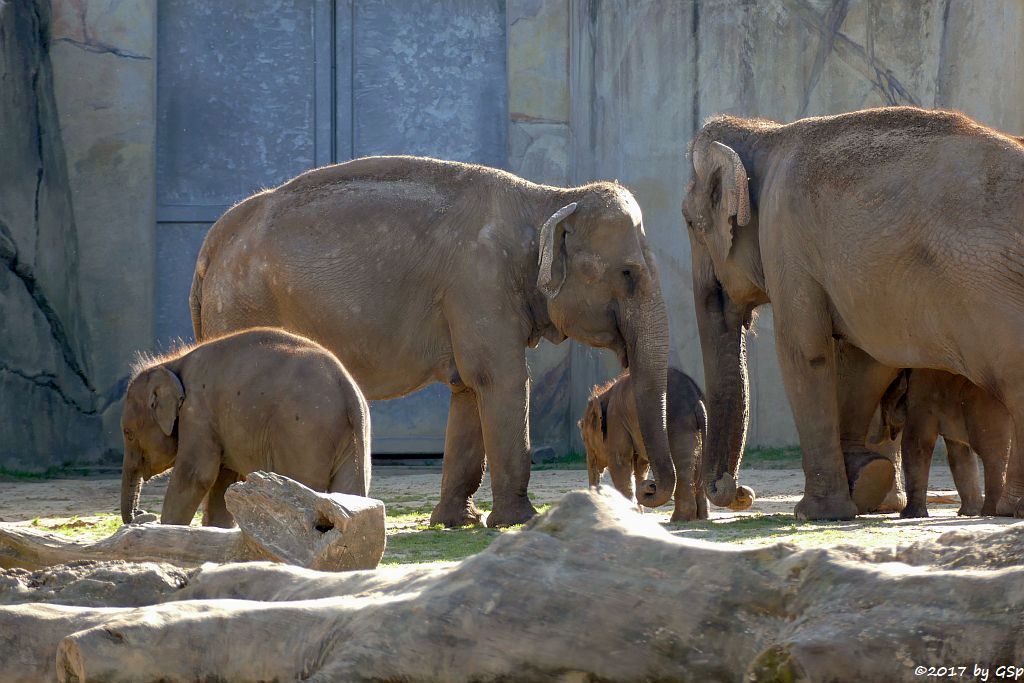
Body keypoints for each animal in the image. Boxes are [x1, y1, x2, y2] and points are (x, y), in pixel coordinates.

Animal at [120, 327, 372, 528]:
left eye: (128, 434)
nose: (141, 513)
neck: (171, 365)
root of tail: (348, 387)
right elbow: (223, 482)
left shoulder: (197, 412)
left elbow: (196, 475)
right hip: (349, 438)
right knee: (348, 492)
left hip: (305, 434)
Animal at [189, 156, 675, 528]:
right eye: (628, 273)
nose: (649, 491)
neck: (548, 198)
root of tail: (211, 245)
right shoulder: (478, 283)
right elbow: (502, 380)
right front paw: (519, 521)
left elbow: (469, 389)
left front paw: (456, 522)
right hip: (243, 306)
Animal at [876, 368, 1011, 518]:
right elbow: (959, 454)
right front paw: (968, 513)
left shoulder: (922, 396)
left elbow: (916, 444)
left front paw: (909, 515)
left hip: (986, 407)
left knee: (991, 451)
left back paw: (991, 512)